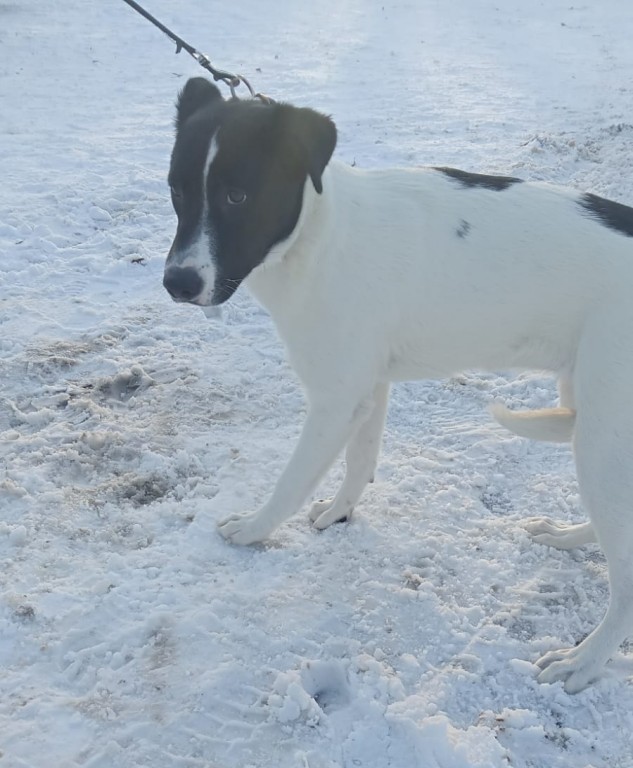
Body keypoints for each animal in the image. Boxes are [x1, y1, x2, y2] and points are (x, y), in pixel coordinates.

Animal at [164, 77, 633, 692]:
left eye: (237, 196)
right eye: (176, 189)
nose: (175, 282)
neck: (319, 238)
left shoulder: (334, 401)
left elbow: (291, 483)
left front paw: (253, 530)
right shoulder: (367, 389)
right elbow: (359, 463)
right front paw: (338, 515)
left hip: (604, 437)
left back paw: (586, 660)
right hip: (590, 412)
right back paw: (573, 536)